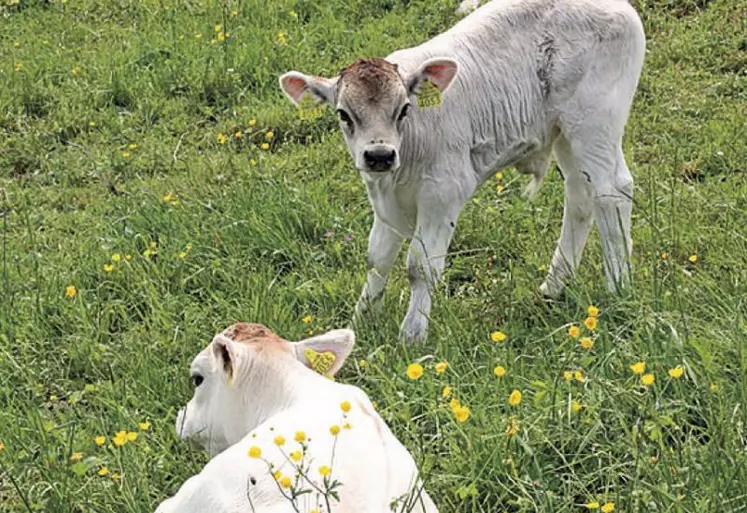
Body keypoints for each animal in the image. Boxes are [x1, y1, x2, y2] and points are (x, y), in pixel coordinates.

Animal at [284, 1, 644, 344]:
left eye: (403, 109)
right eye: (344, 114)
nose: (379, 155)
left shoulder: (442, 192)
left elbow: (419, 267)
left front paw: (412, 336)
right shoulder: (383, 199)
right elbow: (377, 260)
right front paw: (360, 322)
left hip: (596, 123)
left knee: (611, 192)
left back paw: (618, 286)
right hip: (565, 133)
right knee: (580, 194)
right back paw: (553, 286)